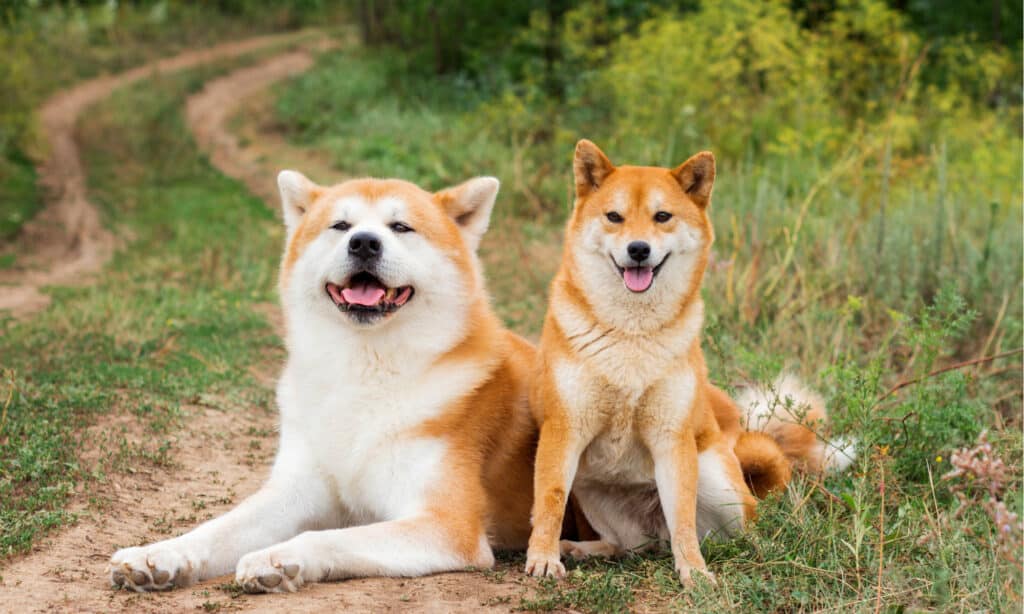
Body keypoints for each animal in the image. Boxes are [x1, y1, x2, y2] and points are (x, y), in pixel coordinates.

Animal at [109, 171, 544, 589]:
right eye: (341, 225)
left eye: (401, 227)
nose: (364, 243)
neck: (363, 369)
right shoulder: (295, 489)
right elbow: (217, 528)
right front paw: (161, 553)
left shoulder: (448, 524)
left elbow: (328, 537)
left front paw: (279, 557)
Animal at [524, 140, 851, 585]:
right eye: (614, 217)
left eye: (662, 217)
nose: (638, 249)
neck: (632, 336)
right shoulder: (564, 430)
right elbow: (550, 502)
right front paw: (543, 557)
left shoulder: (672, 438)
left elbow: (681, 516)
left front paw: (693, 572)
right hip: (592, 491)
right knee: (626, 546)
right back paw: (579, 548)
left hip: (717, 481)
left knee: (739, 528)